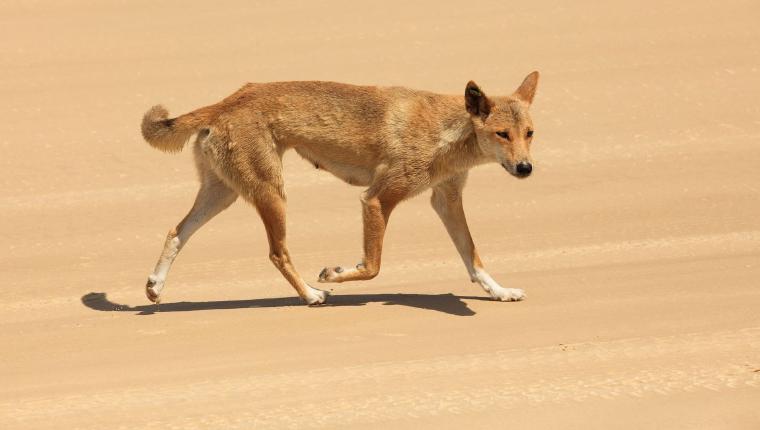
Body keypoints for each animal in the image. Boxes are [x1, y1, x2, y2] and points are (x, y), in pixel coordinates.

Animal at [140, 71, 536, 306]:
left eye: (529, 133)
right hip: (272, 194)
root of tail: (226, 101)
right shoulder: (377, 199)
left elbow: (473, 257)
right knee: (277, 253)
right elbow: (373, 266)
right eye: (502, 134)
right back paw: (311, 294)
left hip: (223, 193)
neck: (447, 132)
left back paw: (155, 285)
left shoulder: (446, 200)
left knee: (176, 232)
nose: (526, 168)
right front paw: (336, 274)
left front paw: (500, 291)